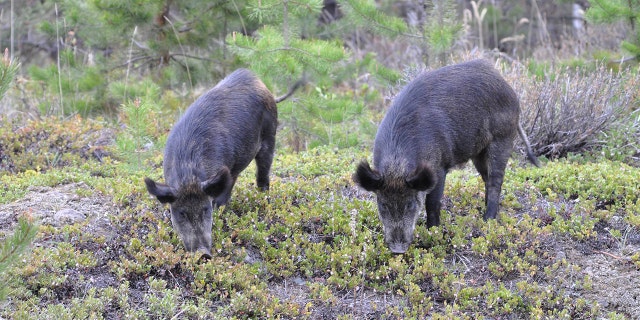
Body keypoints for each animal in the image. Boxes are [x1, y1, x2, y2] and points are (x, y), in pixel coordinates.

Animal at [146, 69, 302, 258]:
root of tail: (263, 86)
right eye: (181, 214)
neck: (189, 172)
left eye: (206, 209)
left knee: (262, 176)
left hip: (269, 136)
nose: (203, 253)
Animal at [352, 60, 536, 254]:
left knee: (496, 180)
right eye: (383, 205)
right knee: (486, 177)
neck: (397, 164)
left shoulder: (440, 168)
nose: (397, 249)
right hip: (478, 152)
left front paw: (433, 232)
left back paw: (488, 219)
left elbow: (432, 203)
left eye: (410, 204)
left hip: (502, 138)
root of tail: (507, 85)